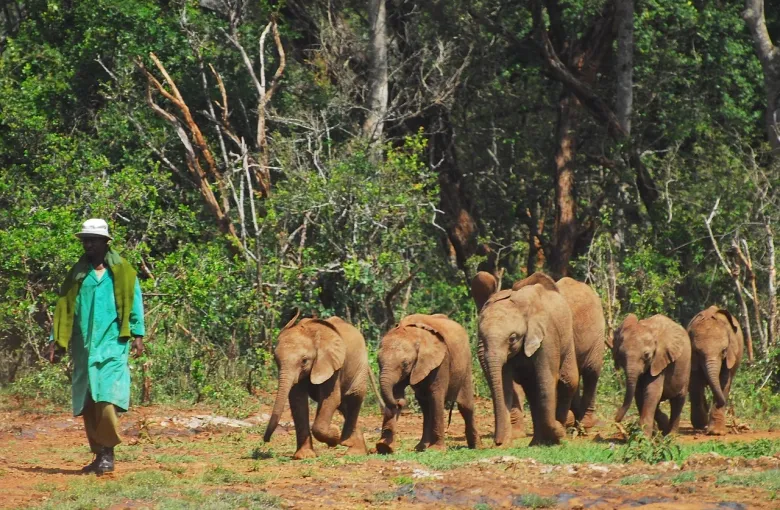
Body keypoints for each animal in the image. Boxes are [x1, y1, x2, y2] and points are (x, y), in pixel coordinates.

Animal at [263, 313, 368, 459]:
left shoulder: (333, 364)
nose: (266, 440)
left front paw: (334, 435)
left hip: (361, 365)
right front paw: (304, 456)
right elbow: (297, 401)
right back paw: (356, 450)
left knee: (354, 397)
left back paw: (351, 448)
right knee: (343, 404)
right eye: (276, 360)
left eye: (304, 361)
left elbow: (331, 399)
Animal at [375, 314, 480, 453]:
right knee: (426, 405)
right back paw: (421, 447)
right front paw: (383, 447)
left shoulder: (441, 361)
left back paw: (476, 446)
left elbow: (436, 395)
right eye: (378, 362)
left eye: (405, 364)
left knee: (465, 406)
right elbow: (396, 391)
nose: (400, 403)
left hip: (466, 364)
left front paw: (437, 450)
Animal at [475, 279, 579, 446]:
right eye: (481, 336)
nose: (497, 442)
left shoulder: (548, 335)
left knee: (568, 381)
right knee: (532, 389)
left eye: (512, 338)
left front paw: (558, 434)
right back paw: (536, 442)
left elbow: (546, 380)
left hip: (567, 335)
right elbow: (504, 385)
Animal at [687, 306, 743, 435]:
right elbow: (695, 382)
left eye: (723, 351)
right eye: (697, 352)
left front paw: (716, 432)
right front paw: (701, 423)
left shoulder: (730, 356)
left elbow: (724, 381)